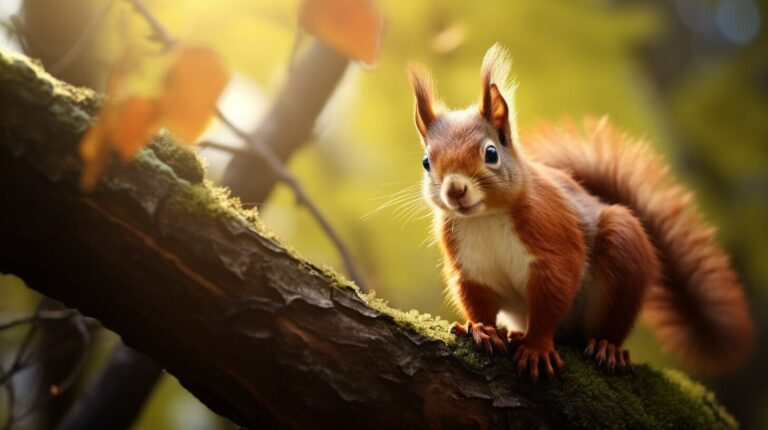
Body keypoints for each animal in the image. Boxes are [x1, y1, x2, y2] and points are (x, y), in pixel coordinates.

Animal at [412, 44, 752, 380]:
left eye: (491, 153)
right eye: (426, 162)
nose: (455, 190)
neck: (485, 218)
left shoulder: (550, 232)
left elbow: (554, 289)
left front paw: (536, 347)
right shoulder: (470, 267)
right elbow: (476, 300)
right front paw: (483, 329)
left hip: (623, 250)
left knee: (610, 325)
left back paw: (607, 347)